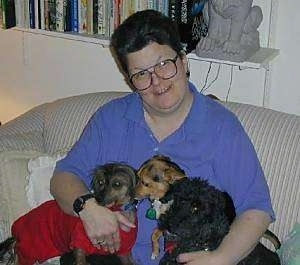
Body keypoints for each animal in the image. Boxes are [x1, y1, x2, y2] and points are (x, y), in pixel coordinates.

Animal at [0, 162, 138, 262]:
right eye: (101, 182)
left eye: (117, 184)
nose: (98, 198)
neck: (116, 210)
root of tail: (16, 232)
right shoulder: (80, 242)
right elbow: (81, 260)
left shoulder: (124, 252)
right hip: (30, 249)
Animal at [136, 155, 282, 264]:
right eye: (137, 176)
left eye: (145, 183)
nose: (132, 194)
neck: (168, 194)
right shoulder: (165, 223)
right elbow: (155, 234)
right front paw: (155, 251)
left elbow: (157, 233)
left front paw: (156, 251)